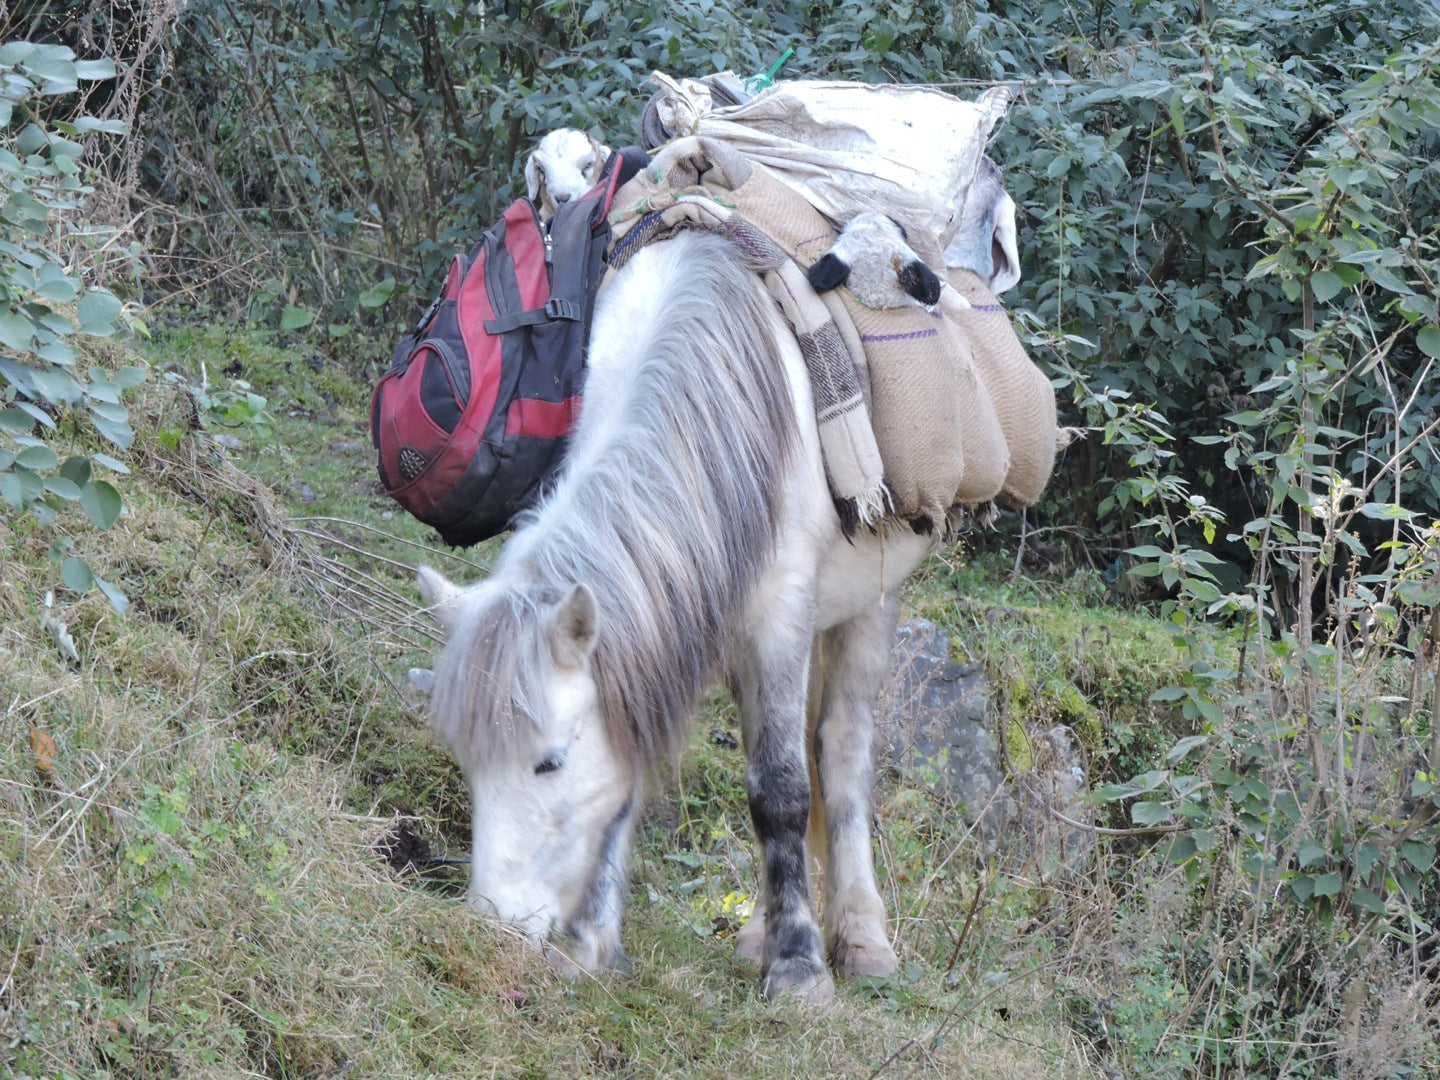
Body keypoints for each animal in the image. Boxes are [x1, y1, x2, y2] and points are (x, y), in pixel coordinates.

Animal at [417, 167, 1025, 1008]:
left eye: (549, 763)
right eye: (468, 760)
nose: (494, 925)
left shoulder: (777, 620)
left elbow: (782, 790)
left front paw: (800, 969)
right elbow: (637, 769)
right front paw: (592, 945)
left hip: (870, 605)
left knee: (840, 758)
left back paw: (857, 939)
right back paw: (759, 934)